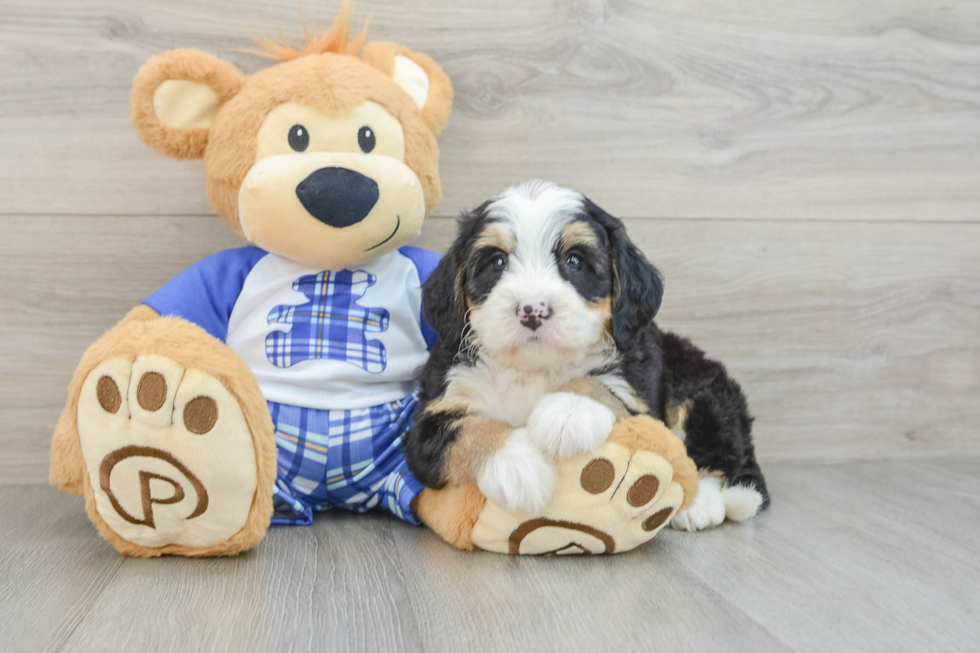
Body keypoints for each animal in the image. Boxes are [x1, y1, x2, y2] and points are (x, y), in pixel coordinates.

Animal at [402, 180, 768, 528]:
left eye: (575, 261)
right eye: (497, 262)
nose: (532, 310)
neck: (534, 369)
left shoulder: (640, 391)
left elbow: (601, 384)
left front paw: (567, 412)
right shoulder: (430, 417)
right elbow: (466, 432)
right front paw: (520, 468)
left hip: (700, 386)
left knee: (716, 452)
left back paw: (699, 505)